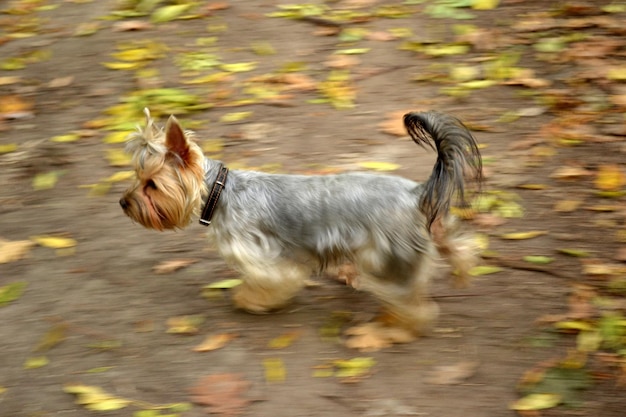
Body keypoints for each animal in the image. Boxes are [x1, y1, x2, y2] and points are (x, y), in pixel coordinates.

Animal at [119, 108, 480, 344]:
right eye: (138, 178)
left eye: (151, 185)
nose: (123, 202)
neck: (221, 194)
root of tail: (415, 193)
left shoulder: (263, 258)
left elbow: (269, 282)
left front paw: (249, 301)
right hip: (426, 236)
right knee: (458, 247)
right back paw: (460, 271)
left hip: (386, 259)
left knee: (412, 302)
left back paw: (397, 329)